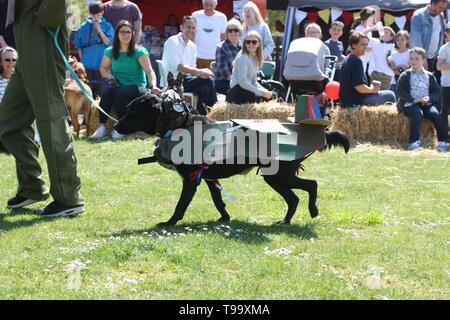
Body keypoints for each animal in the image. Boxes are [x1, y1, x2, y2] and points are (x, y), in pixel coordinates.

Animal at [114, 89, 350, 226]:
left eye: (134, 111)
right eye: (128, 109)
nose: (115, 126)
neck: (180, 126)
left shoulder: (191, 179)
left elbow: (181, 205)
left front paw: (169, 223)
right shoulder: (209, 178)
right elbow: (218, 201)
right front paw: (224, 218)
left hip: (279, 175)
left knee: (311, 185)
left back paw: (313, 211)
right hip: (275, 177)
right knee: (294, 198)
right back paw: (284, 221)